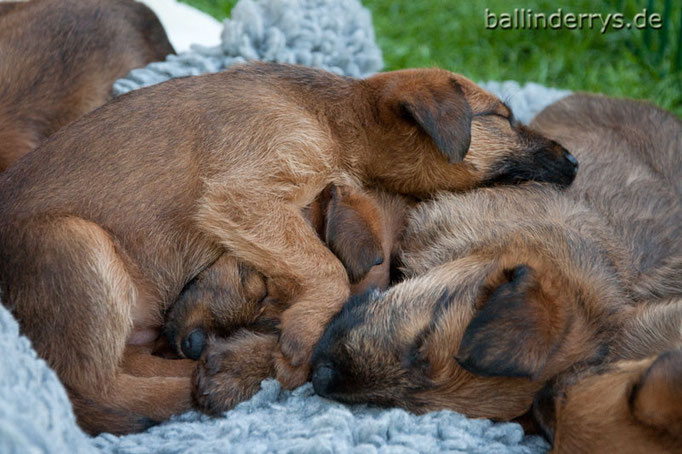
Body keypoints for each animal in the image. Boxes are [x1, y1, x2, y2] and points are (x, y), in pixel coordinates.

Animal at [0, 60, 576, 432]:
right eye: (502, 118)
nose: (574, 162)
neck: (333, 116)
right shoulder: (245, 193)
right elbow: (326, 268)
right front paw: (300, 336)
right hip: (74, 242)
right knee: (95, 388)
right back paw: (209, 380)